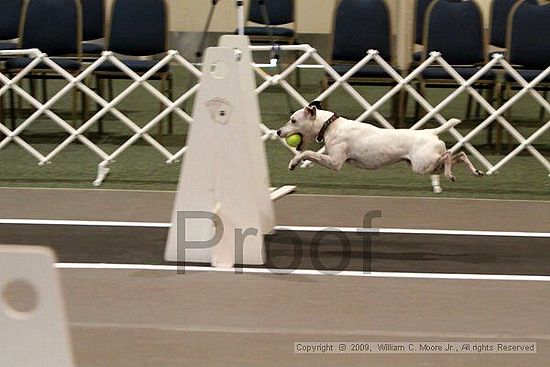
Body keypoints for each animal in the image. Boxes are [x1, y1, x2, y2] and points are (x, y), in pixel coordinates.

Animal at [278, 102, 486, 183]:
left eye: (293, 120)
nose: (278, 131)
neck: (330, 125)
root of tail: (431, 132)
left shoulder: (335, 162)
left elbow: (307, 153)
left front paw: (294, 162)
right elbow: (308, 153)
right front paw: (295, 161)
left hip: (423, 165)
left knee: (450, 155)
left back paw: (451, 174)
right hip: (427, 166)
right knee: (460, 154)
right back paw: (475, 171)